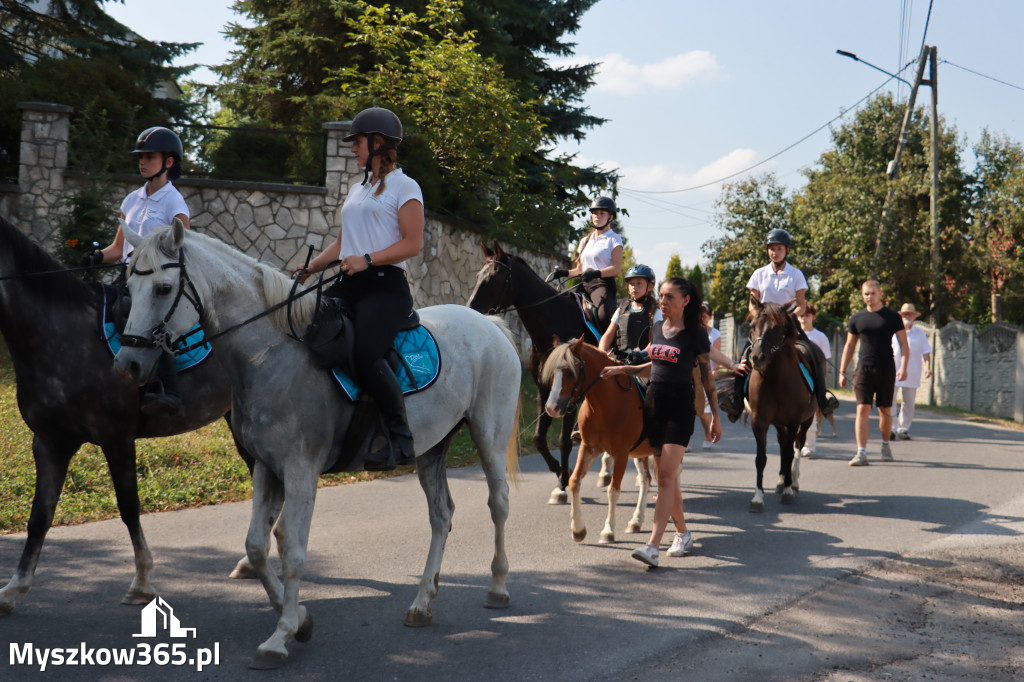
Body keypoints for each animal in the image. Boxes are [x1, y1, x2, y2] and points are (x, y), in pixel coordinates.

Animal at [0, 215, 238, 614]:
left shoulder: (117, 438)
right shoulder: (49, 442)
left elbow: (128, 507)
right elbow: (39, 516)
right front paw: (15, 587)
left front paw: (141, 581)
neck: (58, 335)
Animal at [114, 220, 520, 667]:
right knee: (441, 515)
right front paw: (299, 620)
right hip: (431, 448)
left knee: (499, 504)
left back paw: (498, 588)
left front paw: (280, 637)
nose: (127, 364)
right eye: (128, 288)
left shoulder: (301, 470)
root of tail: (491, 326)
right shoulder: (266, 468)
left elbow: (292, 549)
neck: (270, 354)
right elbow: (257, 546)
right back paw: (421, 602)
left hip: (489, 434)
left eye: (163, 288)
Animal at [468, 242, 602, 499]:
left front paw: (564, 481)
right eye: (478, 275)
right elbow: (539, 438)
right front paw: (561, 472)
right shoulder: (545, 390)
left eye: (494, 278)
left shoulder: (570, 393)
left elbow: (563, 441)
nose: (470, 309)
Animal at [540, 337, 651, 540]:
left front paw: (608, 530)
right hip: (642, 452)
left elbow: (613, 490)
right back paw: (636, 521)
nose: (552, 408)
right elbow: (574, 481)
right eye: (552, 372)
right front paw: (578, 529)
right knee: (646, 479)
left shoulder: (622, 454)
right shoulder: (589, 447)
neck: (607, 404)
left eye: (571, 372)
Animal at [745, 296, 815, 509]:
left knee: (797, 444)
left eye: (776, 328)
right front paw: (757, 497)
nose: (757, 358)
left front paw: (788, 491)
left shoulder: (793, 421)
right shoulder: (759, 421)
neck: (774, 379)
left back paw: (793, 482)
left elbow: (791, 452)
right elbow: (761, 458)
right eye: (752, 326)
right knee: (784, 444)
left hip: (807, 420)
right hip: (778, 423)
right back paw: (782, 479)